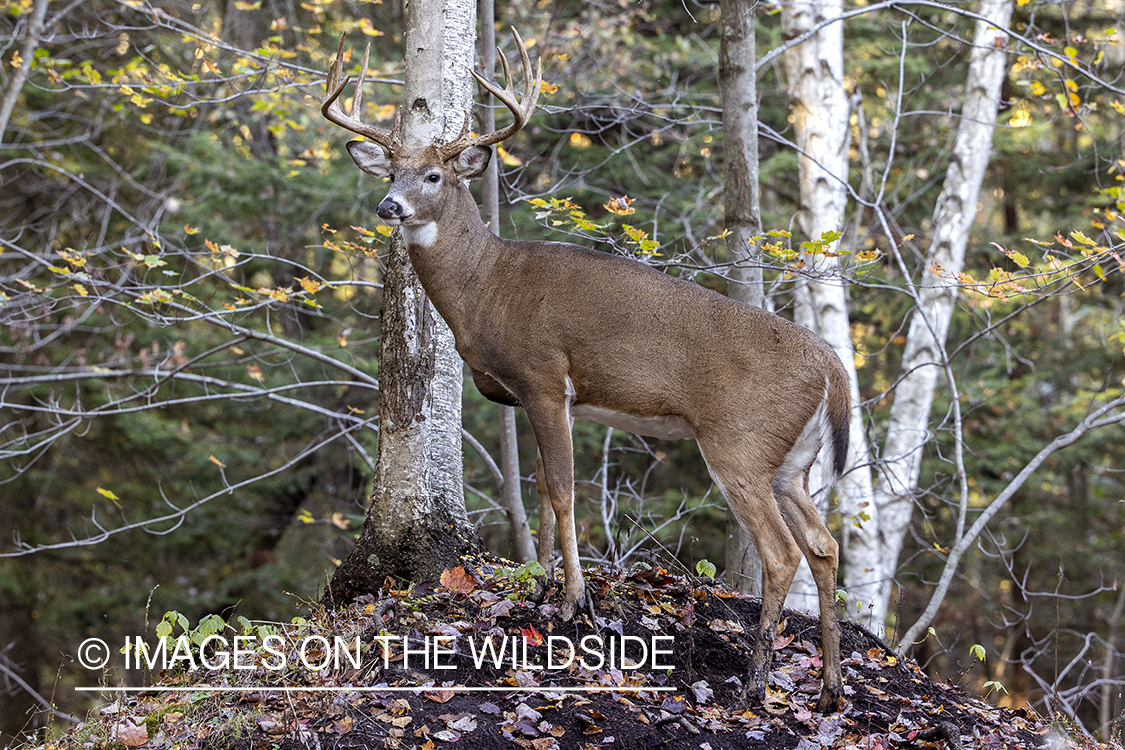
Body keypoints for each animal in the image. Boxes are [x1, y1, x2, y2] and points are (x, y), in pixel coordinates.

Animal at [326, 27, 850, 710]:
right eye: (391, 170)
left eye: (434, 174)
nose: (389, 205)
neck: (486, 288)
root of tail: (834, 369)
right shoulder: (536, 396)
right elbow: (542, 493)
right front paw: (540, 584)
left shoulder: (546, 376)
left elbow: (564, 491)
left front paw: (576, 600)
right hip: (792, 462)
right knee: (824, 545)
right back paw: (830, 691)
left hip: (739, 441)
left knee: (782, 552)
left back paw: (754, 686)